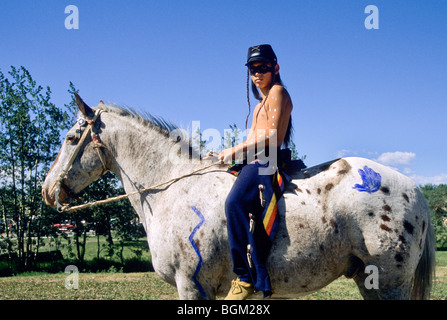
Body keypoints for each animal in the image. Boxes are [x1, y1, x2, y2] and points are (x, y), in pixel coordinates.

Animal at [43, 95, 438, 300]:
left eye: (70, 138)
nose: (47, 190)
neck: (172, 187)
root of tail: (414, 190)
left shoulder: (192, 286)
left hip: (390, 283)